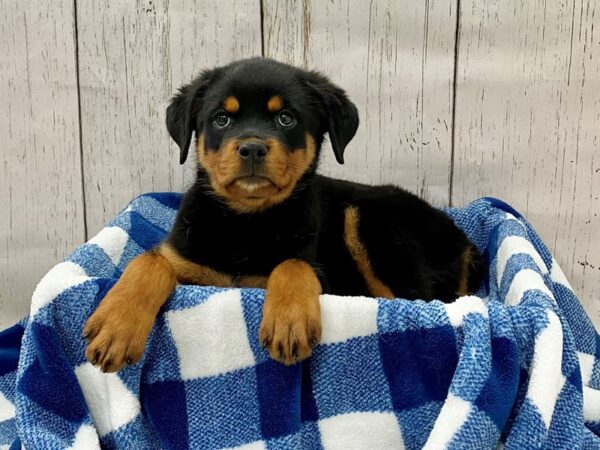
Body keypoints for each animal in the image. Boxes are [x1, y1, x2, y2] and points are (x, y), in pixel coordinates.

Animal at [83, 57, 482, 372]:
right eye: (222, 119)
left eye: (286, 118)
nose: (252, 148)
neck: (246, 221)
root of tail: (467, 245)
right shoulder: (186, 257)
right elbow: (148, 261)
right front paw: (115, 327)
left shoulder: (312, 265)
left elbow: (291, 264)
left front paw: (289, 322)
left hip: (373, 223)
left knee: (410, 300)